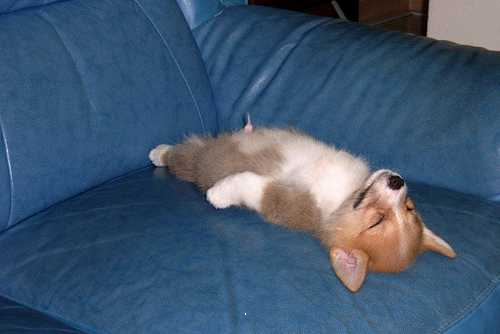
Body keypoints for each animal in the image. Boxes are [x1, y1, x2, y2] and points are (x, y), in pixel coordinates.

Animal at [147, 126, 454, 290]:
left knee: (185, 155)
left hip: (198, 160)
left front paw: (219, 194)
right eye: (410, 207)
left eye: (375, 222)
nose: (397, 181)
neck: (345, 196)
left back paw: (162, 155)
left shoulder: (283, 199)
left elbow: (251, 185)